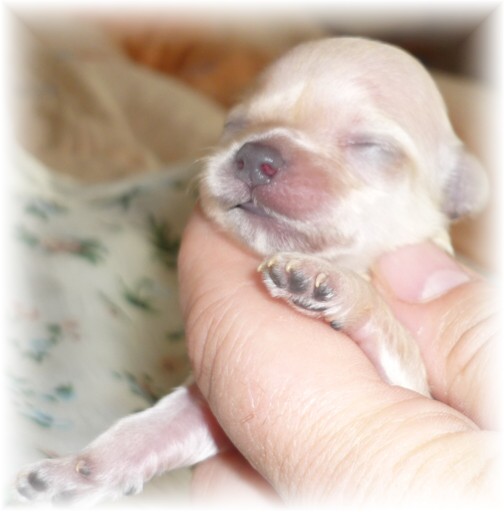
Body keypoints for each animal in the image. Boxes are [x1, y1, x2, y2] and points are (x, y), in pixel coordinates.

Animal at [15, 37, 487, 505]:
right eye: (235, 124)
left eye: (371, 147)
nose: (255, 154)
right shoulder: (207, 411)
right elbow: (159, 425)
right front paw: (78, 469)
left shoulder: (414, 384)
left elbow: (393, 333)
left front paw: (329, 282)